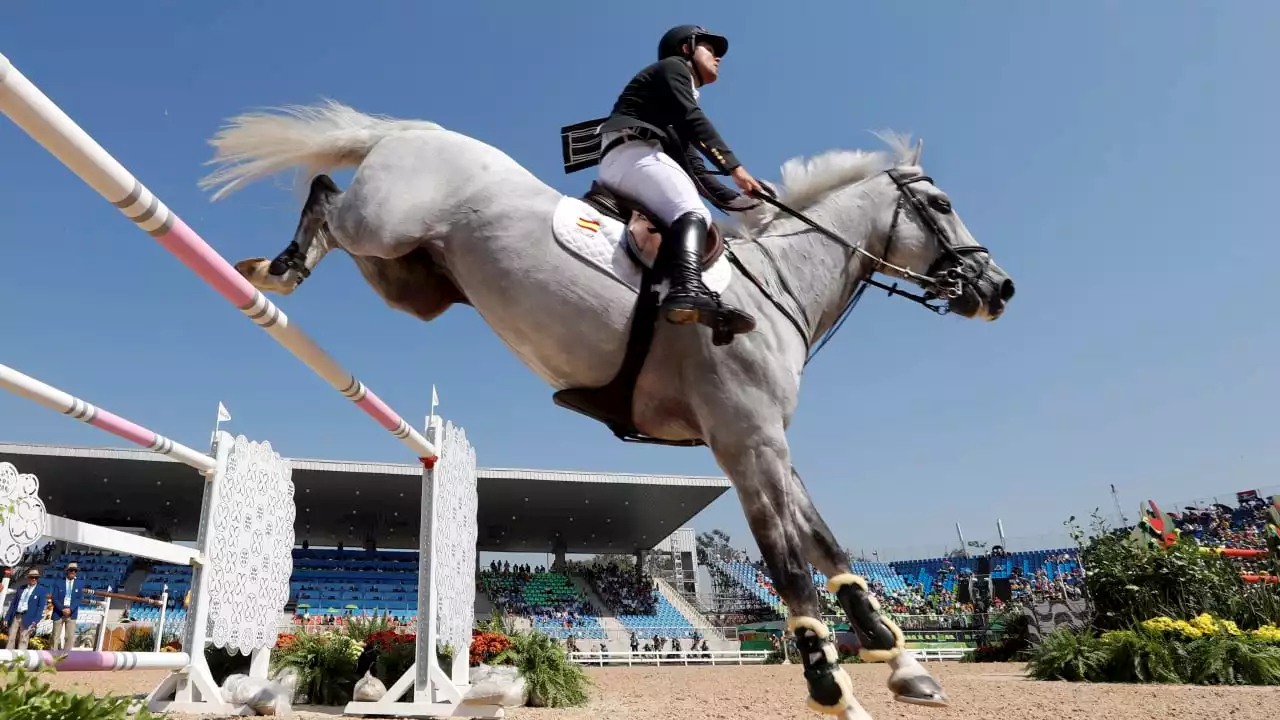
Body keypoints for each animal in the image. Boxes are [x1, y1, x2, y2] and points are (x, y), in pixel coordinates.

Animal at [199, 102, 1013, 717]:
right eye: (941, 205)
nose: (999, 288)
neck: (778, 284)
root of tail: (419, 132)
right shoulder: (744, 439)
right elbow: (787, 561)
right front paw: (830, 684)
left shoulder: (768, 443)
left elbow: (827, 546)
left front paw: (901, 662)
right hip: (384, 222)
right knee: (327, 194)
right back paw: (278, 268)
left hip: (409, 278)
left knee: (341, 215)